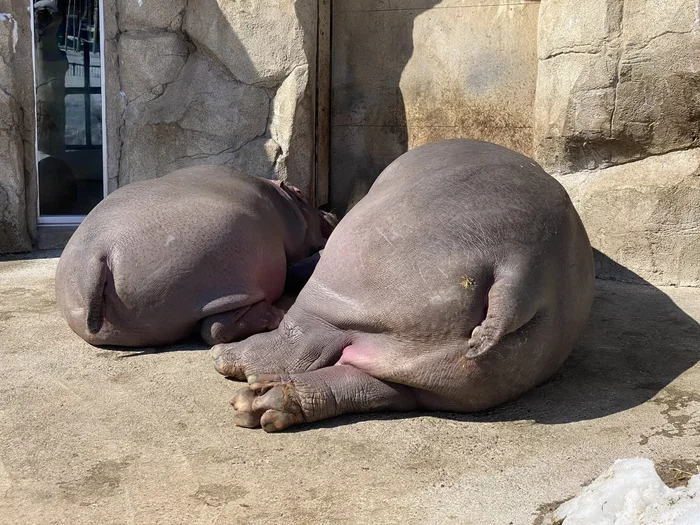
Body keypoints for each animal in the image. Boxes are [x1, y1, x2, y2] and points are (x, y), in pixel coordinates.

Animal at [56, 166, 334, 346]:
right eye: (301, 192)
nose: (329, 211)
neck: (282, 202)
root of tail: (97, 254)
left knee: (212, 328)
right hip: (224, 278)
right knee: (216, 328)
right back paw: (277, 315)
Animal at [211, 138, 592, 430]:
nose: (330, 213)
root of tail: (516, 273)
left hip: (343, 284)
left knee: (304, 336)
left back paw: (229, 363)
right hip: (448, 379)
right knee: (362, 387)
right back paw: (260, 403)